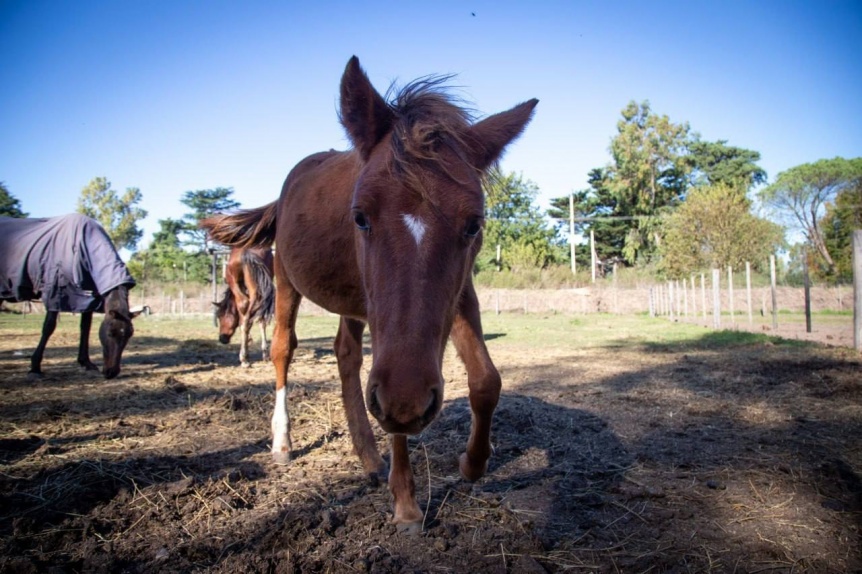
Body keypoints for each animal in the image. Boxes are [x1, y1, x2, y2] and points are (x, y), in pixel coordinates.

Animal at [0, 213, 142, 379]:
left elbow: (85, 328)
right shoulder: (55, 293)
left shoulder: (89, 299)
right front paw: (35, 366)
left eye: (129, 335)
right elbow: (49, 327)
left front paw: (86, 362)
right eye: (110, 333)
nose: (111, 372)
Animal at [200, 56, 537, 533]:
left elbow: (486, 380)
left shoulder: (458, 296)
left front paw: (473, 463)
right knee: (284, 348)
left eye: (474, 224)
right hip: (286, 281)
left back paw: (368, 456)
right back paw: (283, 441)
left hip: (352, 301)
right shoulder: (393, 353)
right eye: (359, 216)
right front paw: (407, 503)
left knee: (346, 354)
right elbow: (395, 408)